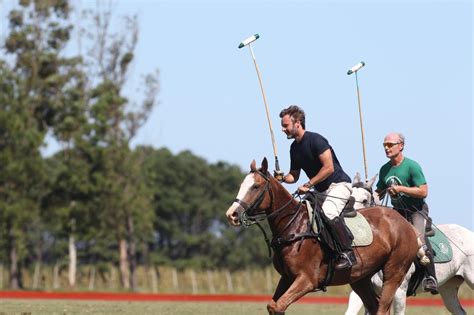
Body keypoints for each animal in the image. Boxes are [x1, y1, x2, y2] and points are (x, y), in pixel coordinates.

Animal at [228, 160, 420, 315]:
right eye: (242, 184)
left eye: (255, 186)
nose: (232, 214)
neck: (294, 226)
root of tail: (405, 222)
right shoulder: (287, 278)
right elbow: (273, 306)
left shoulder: (307, 280)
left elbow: (278, 306)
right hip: (360, 278)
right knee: (374, 305)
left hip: (394, 273)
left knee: (382, 306)